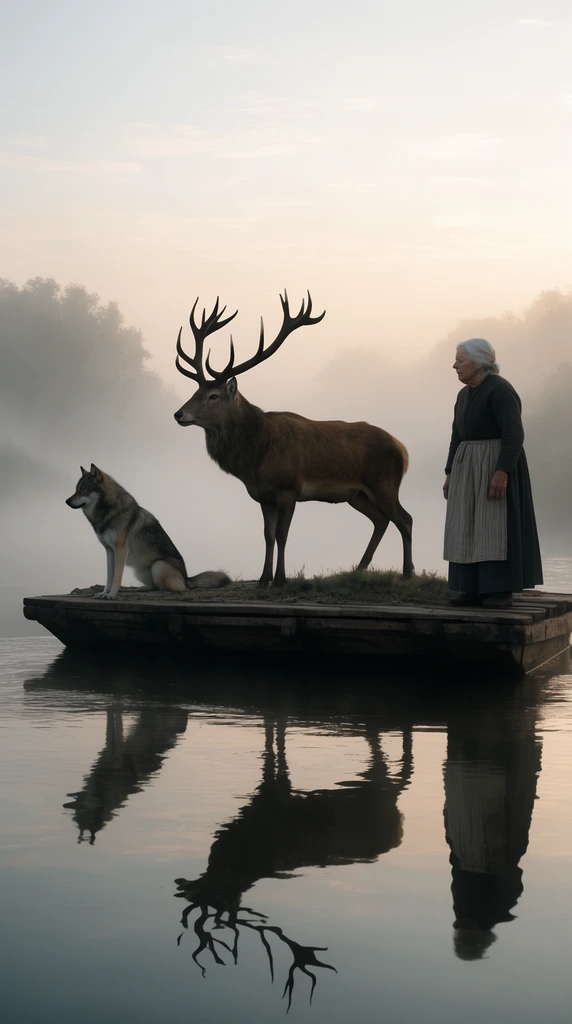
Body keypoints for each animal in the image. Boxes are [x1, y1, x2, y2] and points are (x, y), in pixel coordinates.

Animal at [65, 464, 230, 600]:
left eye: (84, 489)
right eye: (76, 489)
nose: (67, 501)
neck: (108, 512)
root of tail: (187, 577)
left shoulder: (121, 550)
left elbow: (116, 577)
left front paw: (111, 595)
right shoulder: (109, 551)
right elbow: (109, 577)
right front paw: (104, 593)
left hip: (158, 566)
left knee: (176, 589)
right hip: (140, 570)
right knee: (155, 586)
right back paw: (142, 588)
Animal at [173, 292, 413, 587]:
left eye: (213, 396)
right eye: (196, 391)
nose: (179, 414)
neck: (256, 459)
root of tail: (403, 450)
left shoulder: (289, 488)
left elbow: (282, 534)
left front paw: (280, 579)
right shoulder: (262, 495)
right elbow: (267, 535)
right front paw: (263, 578)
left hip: (384, 483)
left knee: (404, 519)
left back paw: (407, 572)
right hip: (357, 494)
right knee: (381, 521)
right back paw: (359, 569)